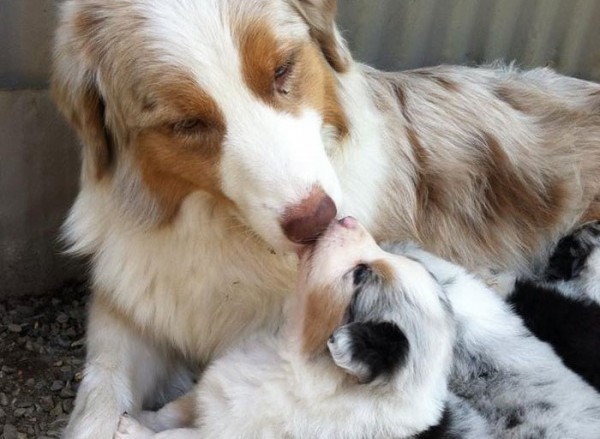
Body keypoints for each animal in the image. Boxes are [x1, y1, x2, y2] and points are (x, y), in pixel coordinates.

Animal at [52, 0, 600, 436]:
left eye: (282, 70)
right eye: (186, 123)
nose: (318, 221)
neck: (226, 230)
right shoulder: (131, 310)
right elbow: (99, 397)